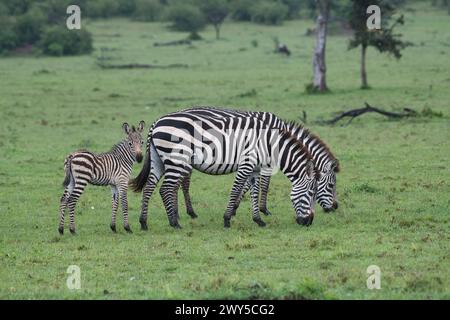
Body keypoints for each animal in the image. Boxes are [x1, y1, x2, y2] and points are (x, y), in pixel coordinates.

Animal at [131, 112, 320, 230]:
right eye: (311, 193)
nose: (309, 222)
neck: (269, 144)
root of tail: (157, 122)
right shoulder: (246, 164)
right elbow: (236, 189)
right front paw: (227, 219)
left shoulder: (255, 170)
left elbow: (254, 191)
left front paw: (258, 220)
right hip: (176, 159)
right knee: (166, 189)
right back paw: (174, 223)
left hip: (159, 160)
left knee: (149, 188)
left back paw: (143, 223)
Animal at [174, 106, 340, 219]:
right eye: (331, 185)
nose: (335, 207)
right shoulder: (265, 160)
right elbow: (264, 185)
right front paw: (263, 209)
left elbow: (248, 184)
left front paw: (235, 207)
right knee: (184, 182)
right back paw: (190, 212)